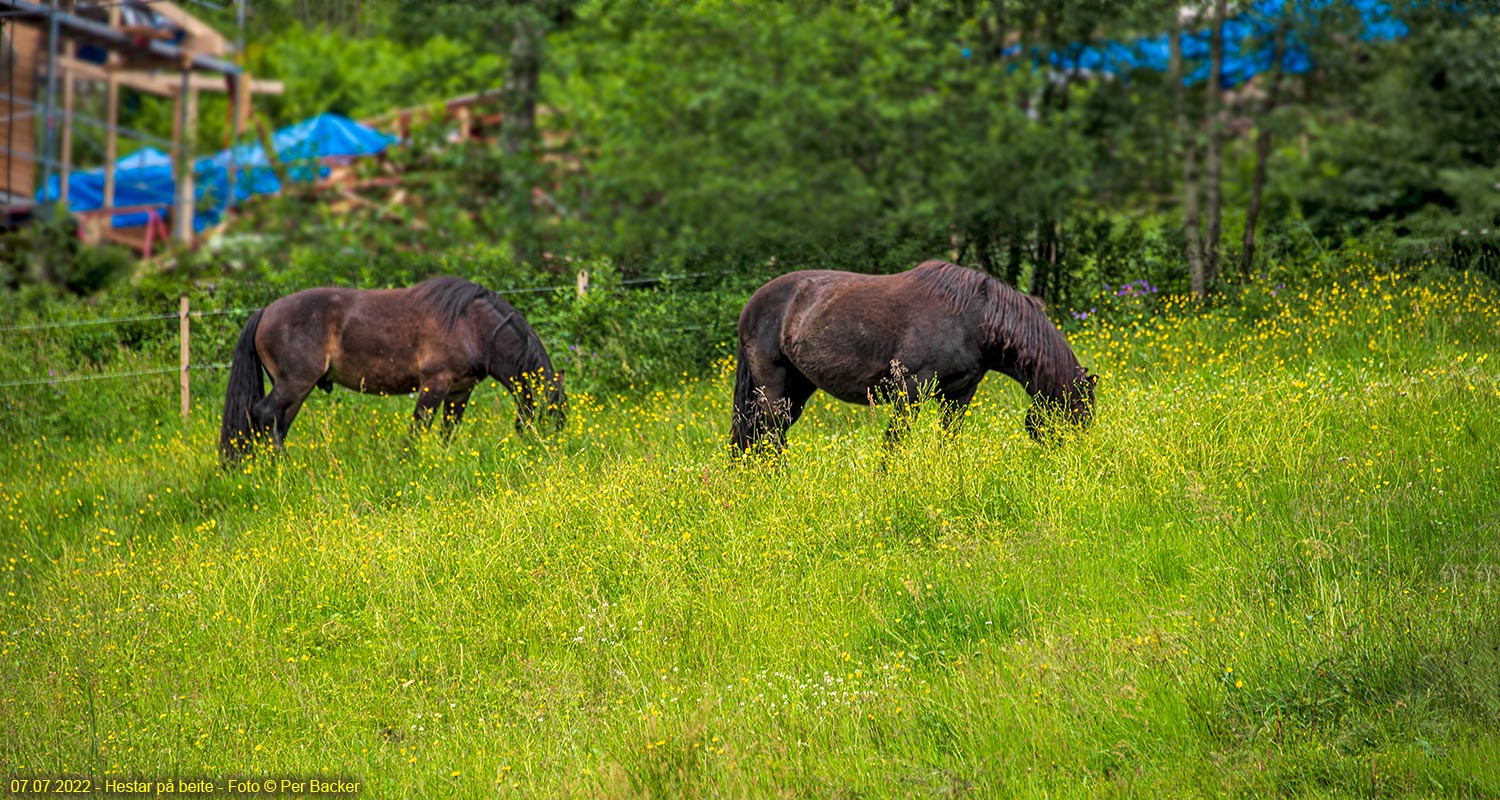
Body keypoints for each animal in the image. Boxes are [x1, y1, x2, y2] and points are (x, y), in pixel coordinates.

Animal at [222, 276, 567, 459]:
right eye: (550, 415)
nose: (548, 452)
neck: (473, 325)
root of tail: (265, 312)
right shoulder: (434, 385)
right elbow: (419, 428)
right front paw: (410, 461)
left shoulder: (459, 391)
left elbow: (448, 431)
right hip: (295, 383)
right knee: (265, 413)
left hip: (295, 388)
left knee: (274, 423)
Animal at [732, 262, 1098, 450]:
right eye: (1078, 416)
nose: (1074, 465)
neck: (971, 317)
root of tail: (751, 306)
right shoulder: (910, 389)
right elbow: (895, 443)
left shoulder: (958, 394)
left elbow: (949, 441)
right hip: (773, 388)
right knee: (767, 434)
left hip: (797, 389)